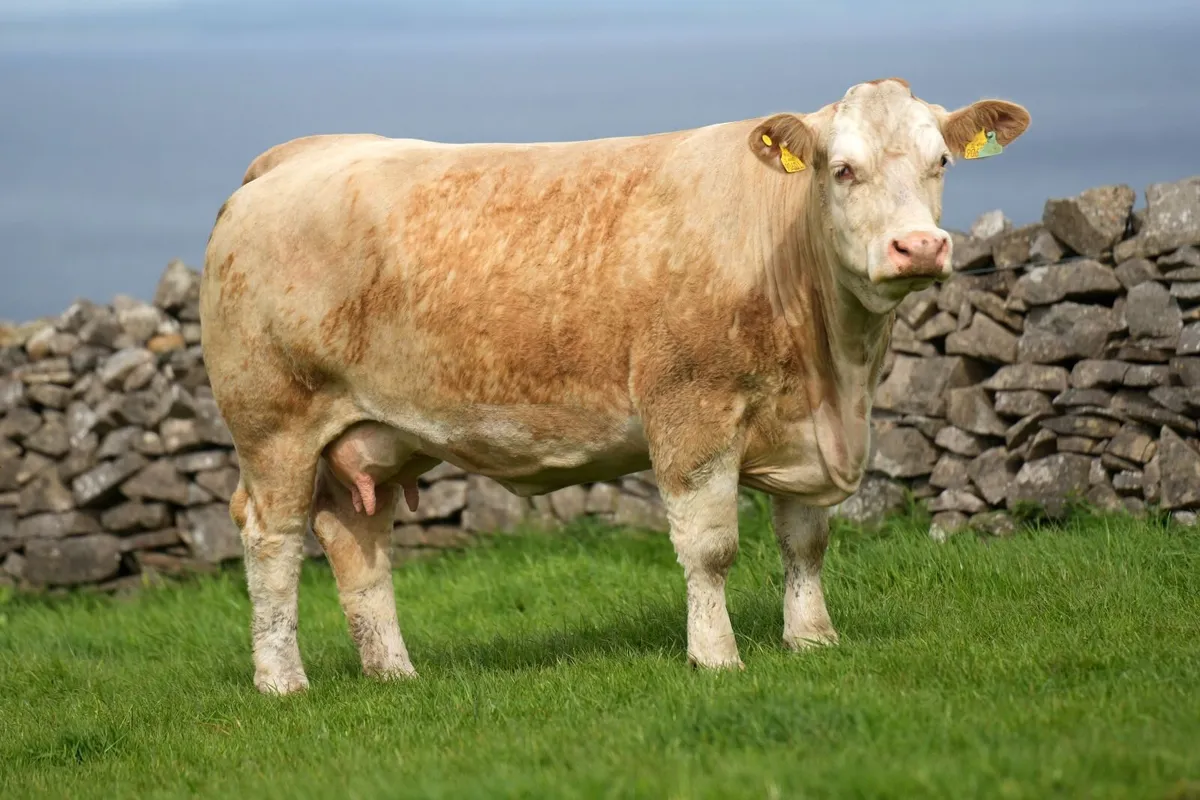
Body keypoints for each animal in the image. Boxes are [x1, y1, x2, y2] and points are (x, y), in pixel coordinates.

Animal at [199, 78, 1030, 694]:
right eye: (842, 169)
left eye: (941, 163)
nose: (918, 246)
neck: (835, 376)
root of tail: (294, 156)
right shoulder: (690, 410)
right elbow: (710, 548)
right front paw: (716, 656)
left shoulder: (805, 431)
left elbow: (807, 541)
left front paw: (812, 639)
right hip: (273, 423)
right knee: (271, 538)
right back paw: (283, 681)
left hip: (373, 433)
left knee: (358, 541)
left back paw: (394, 673)